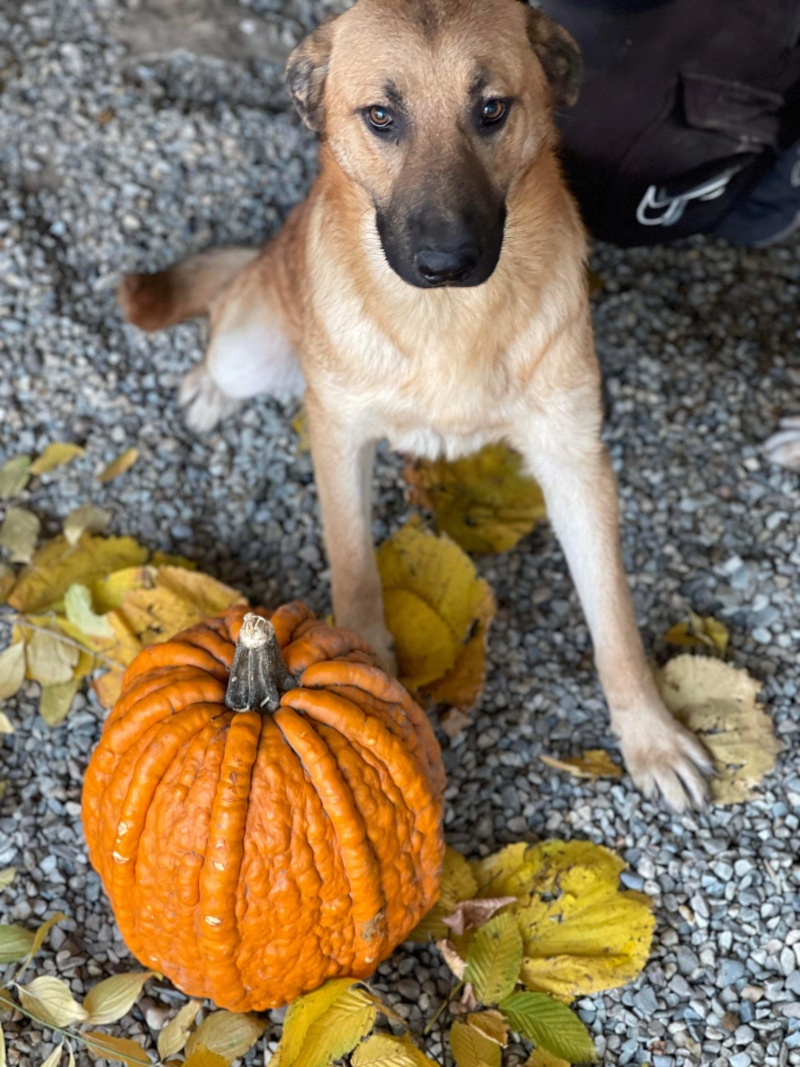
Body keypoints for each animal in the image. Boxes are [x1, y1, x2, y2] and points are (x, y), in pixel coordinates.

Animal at [115, 0, 712, 806]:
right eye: (381, 116)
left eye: (491, 109)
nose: (445, 262)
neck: (448, 321)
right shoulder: (338, 438)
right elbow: (354, 572)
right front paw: (366, 673)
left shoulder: (575, 461)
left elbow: (614, 618)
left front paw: (650, 735)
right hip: (250, 345)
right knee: (224, 337)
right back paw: (208, 384)